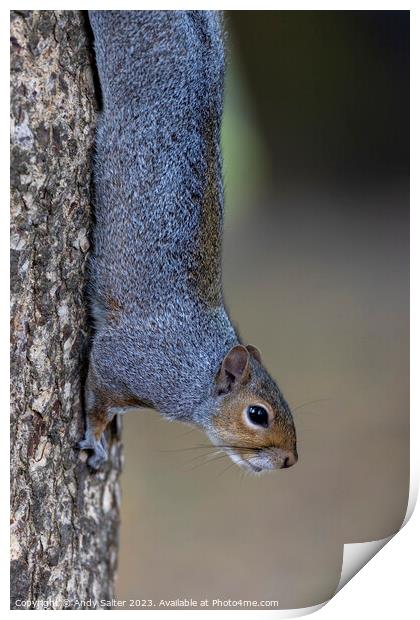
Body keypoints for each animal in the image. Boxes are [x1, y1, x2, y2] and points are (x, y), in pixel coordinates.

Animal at [78, 9, 296, 472]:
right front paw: (95, 439)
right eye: (258, 414)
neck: (198, 369)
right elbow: (98, 400)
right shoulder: (126, 362)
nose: (290, 459)